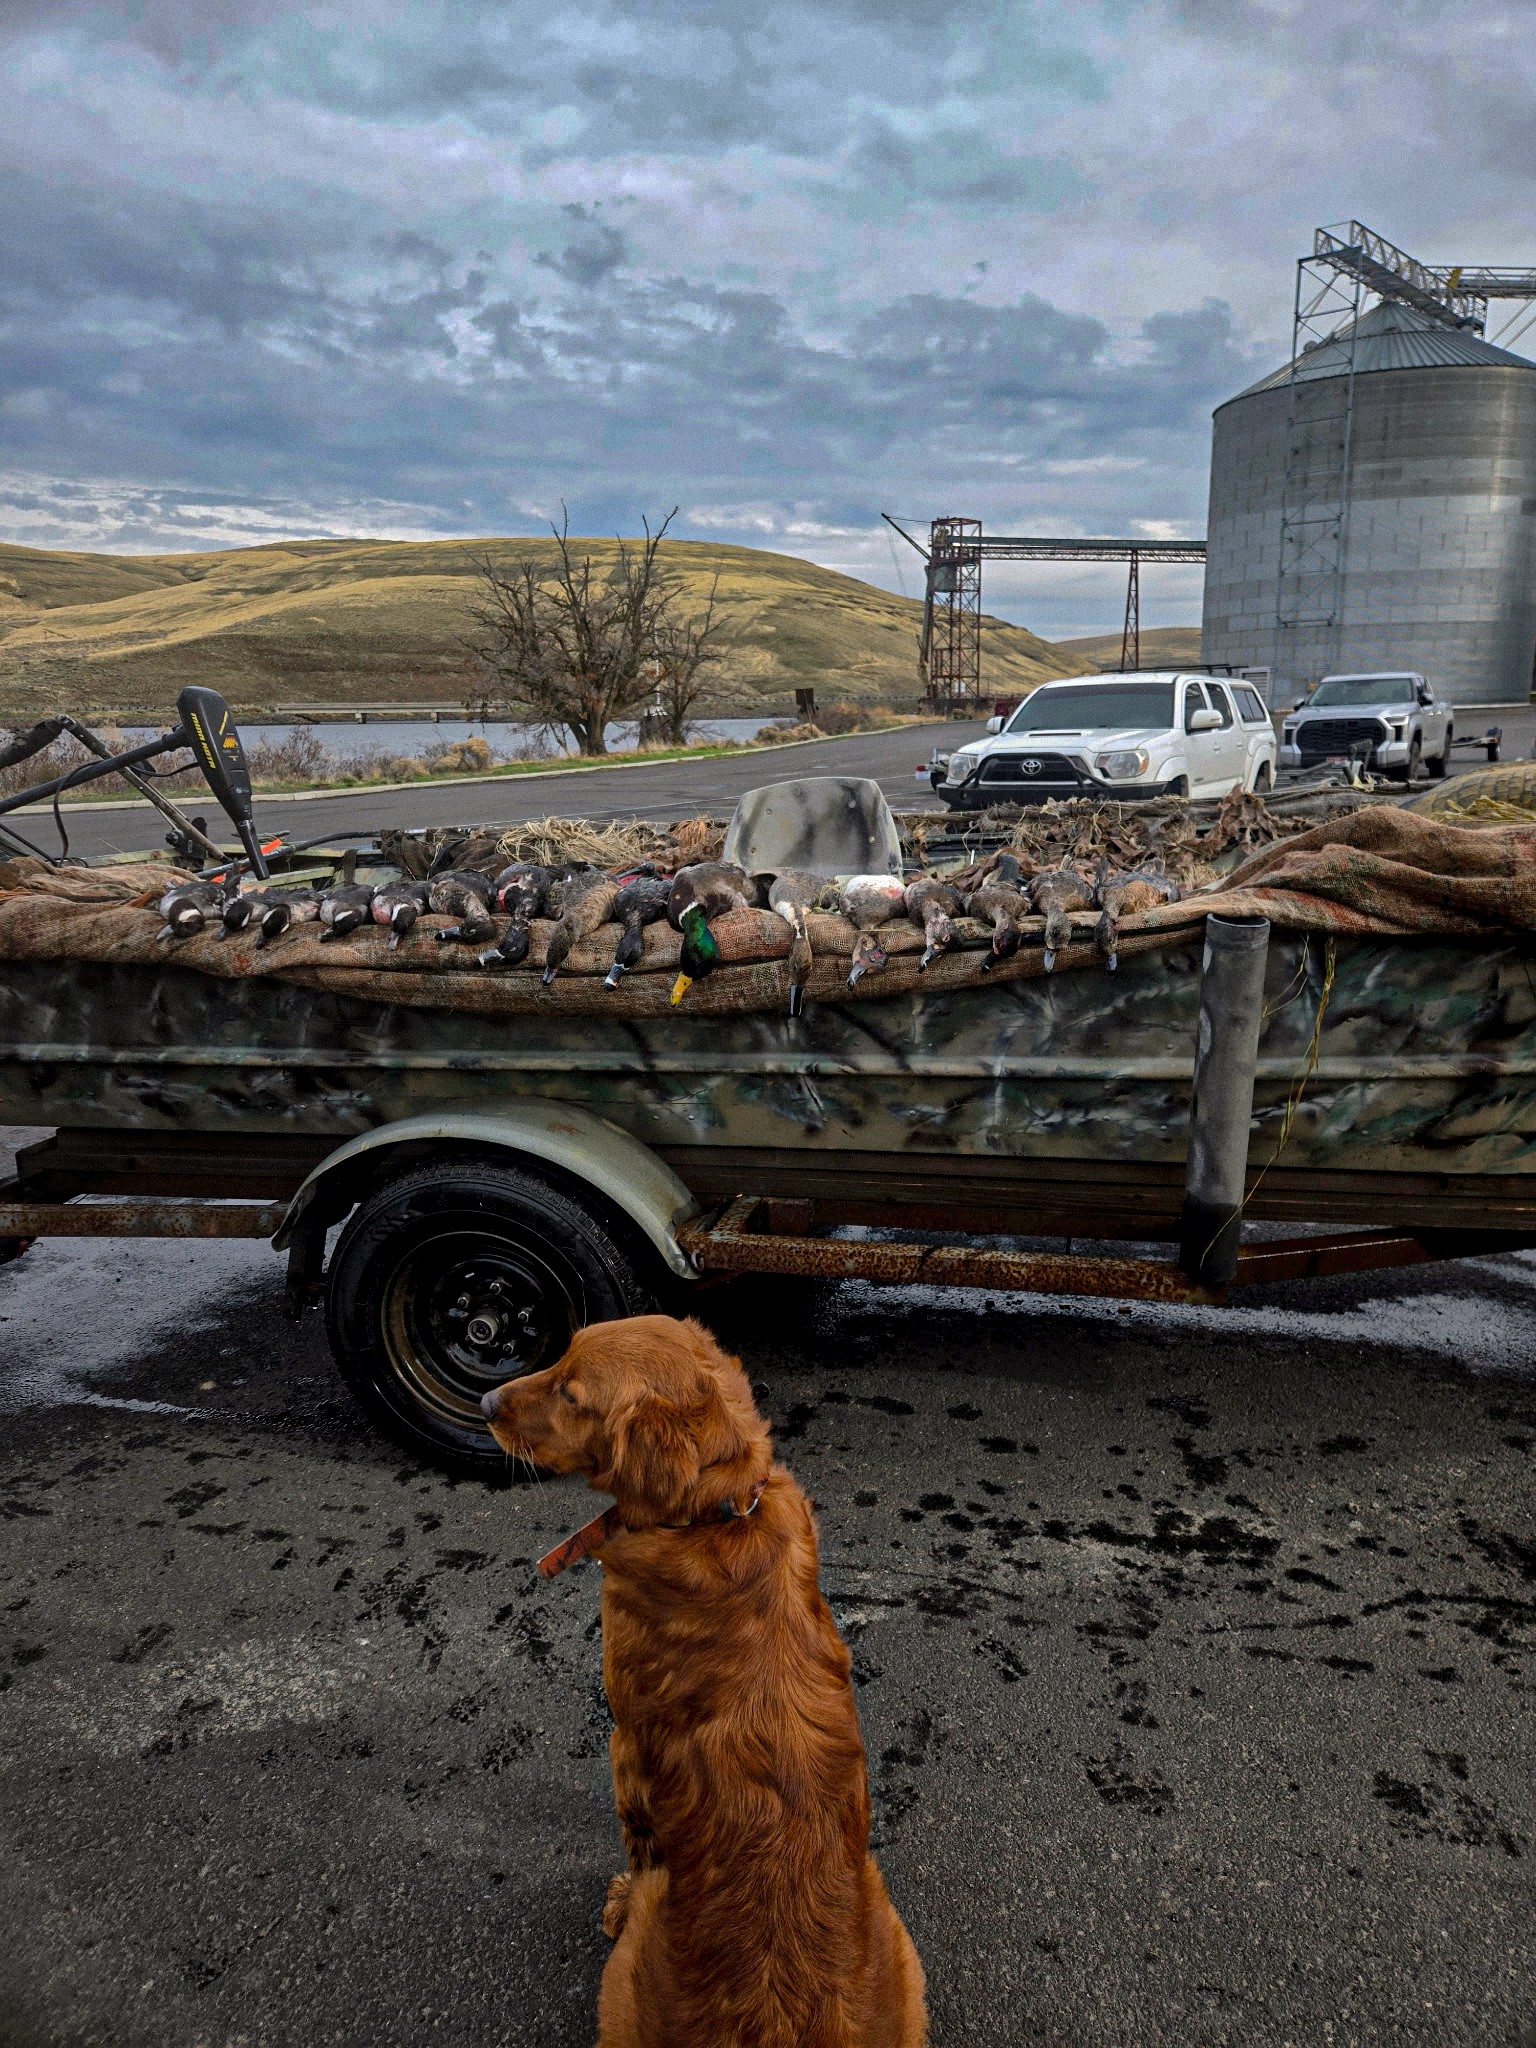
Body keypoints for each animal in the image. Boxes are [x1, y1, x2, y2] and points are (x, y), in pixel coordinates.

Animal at [482, 1314, 928, 2048]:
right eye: (561, 1354)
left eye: (572, 1395)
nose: (487, 1402)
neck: (715, 1515)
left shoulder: (626, 1748)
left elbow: (638, 1841)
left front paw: (619, 1895)